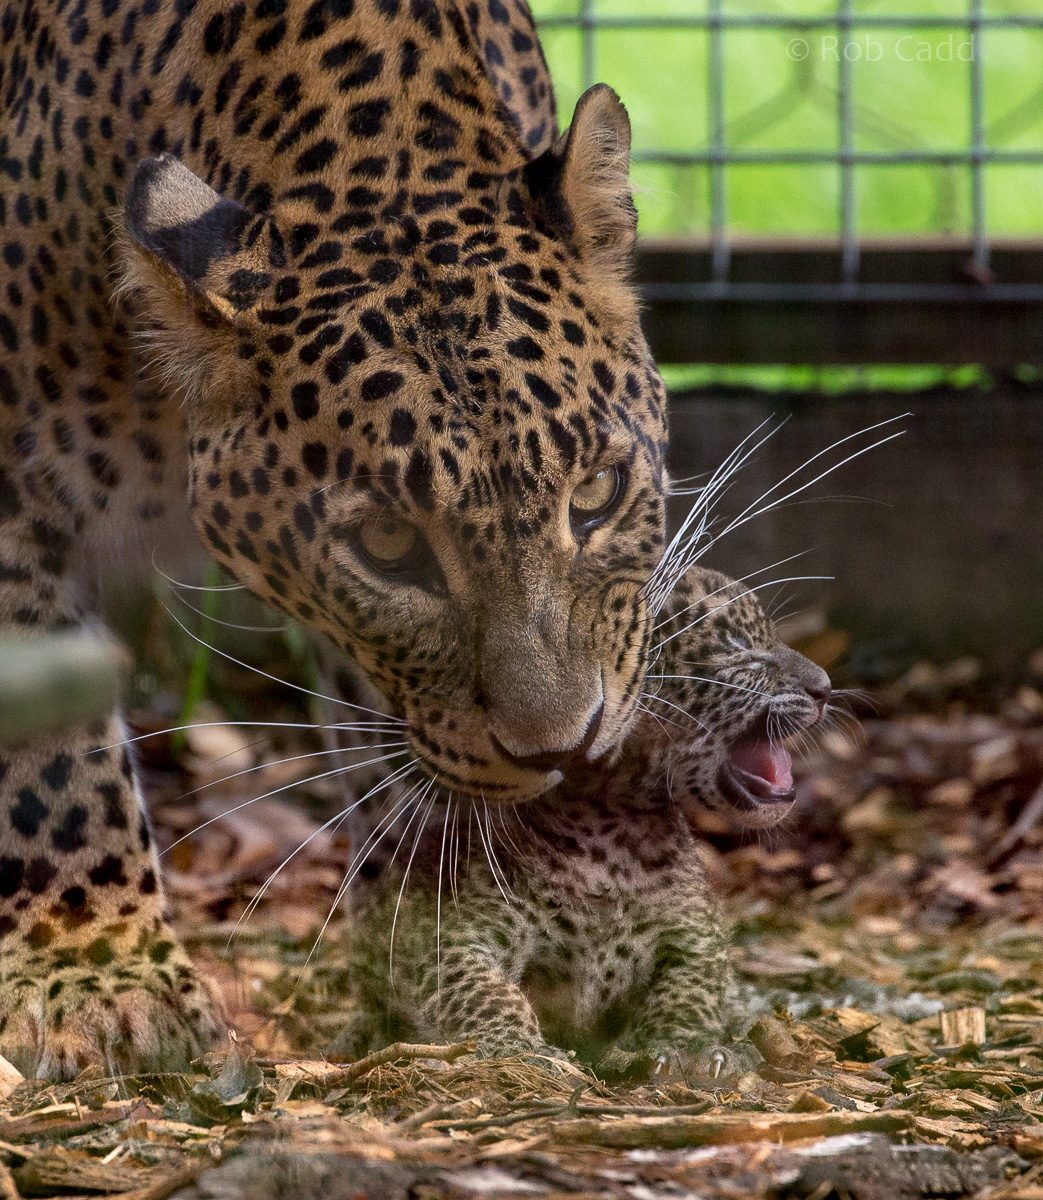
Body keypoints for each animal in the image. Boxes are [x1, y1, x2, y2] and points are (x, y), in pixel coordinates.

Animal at [333, 565, 831, 1080]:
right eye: (736, 643)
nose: (826, 688)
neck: (610, 834)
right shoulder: (447, 933)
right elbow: (484, 990)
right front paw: (518, 1048)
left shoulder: (694, 936)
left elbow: (693, 987)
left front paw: (689, 1047)